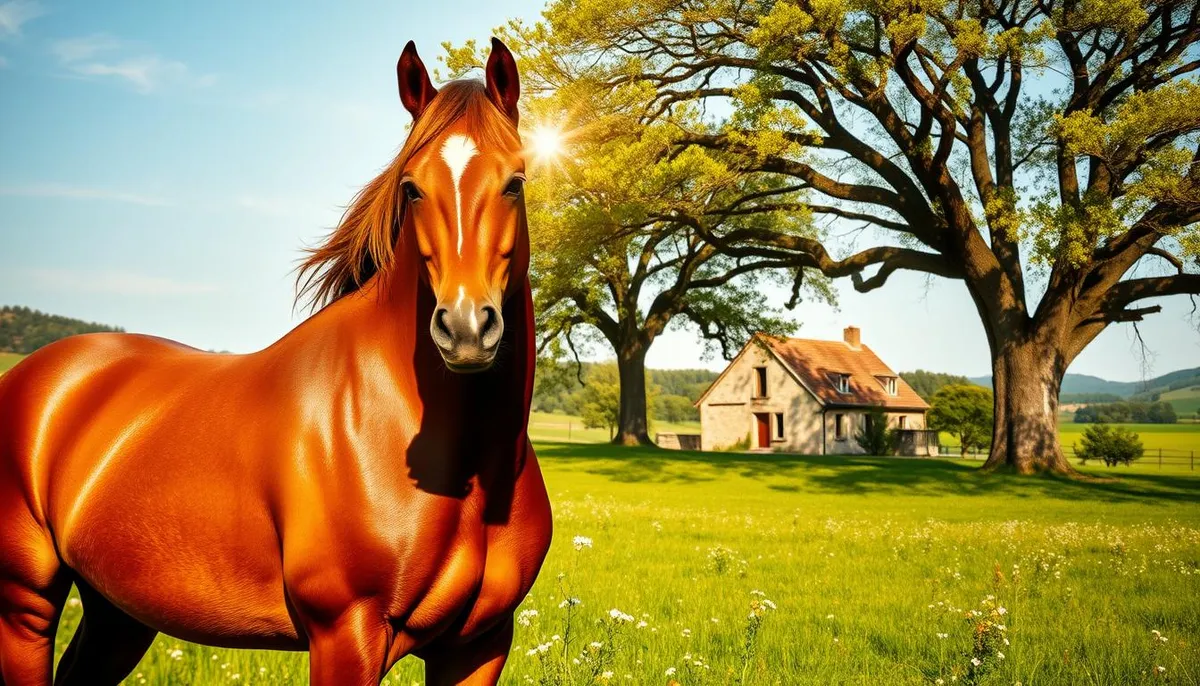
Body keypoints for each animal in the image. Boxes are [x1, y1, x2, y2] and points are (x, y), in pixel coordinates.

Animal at [0, 38, 551, 686]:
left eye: (515, 182)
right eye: (412, 187)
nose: (465, 328)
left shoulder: (479, 645)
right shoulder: (345, 635)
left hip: (117, 612)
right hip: (25, 604)